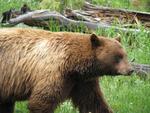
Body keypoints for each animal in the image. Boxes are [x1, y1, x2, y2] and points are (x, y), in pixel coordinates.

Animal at [0, 27, 132, 113]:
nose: (130, 70)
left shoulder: (82, 82)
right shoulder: (56, 72)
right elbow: (42, 101)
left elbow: (93, 101)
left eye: (125, 55)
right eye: (118, 57)